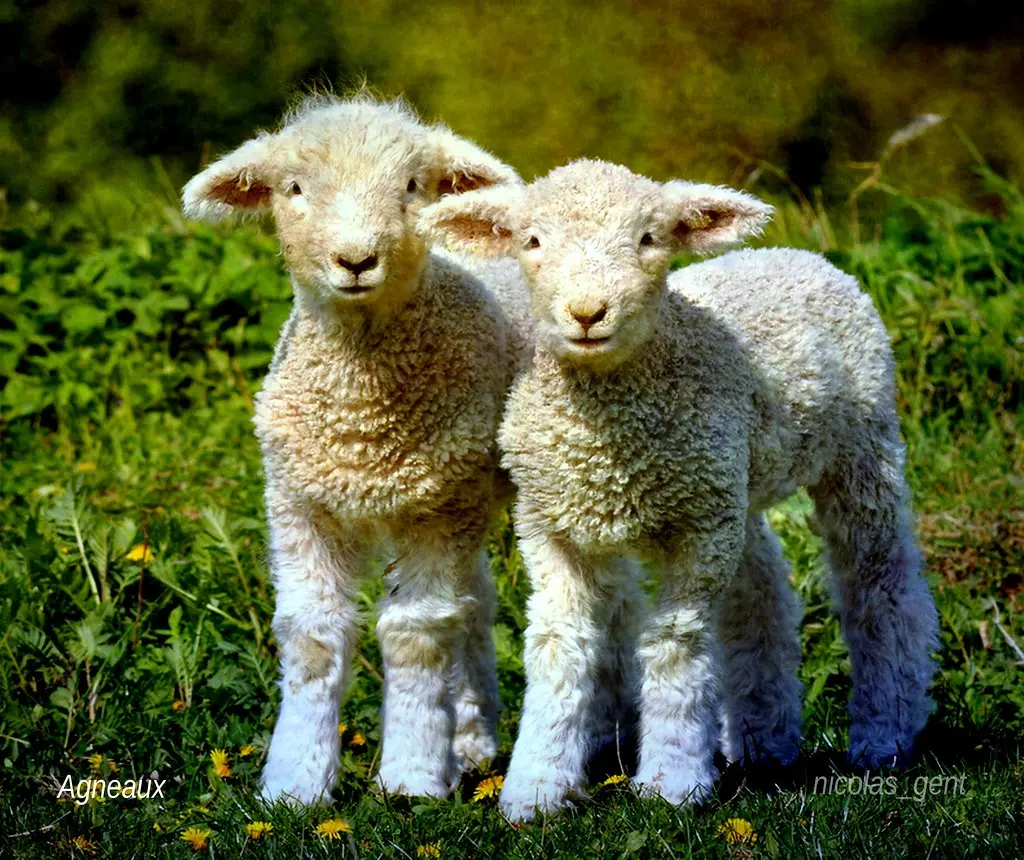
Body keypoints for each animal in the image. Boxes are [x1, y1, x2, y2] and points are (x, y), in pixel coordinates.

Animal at [182, 94, 529, 805]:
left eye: (413, 186)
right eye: (293, 188)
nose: (355, 260)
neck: (359, 421)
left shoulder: (435, 511)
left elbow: (415, 634)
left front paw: (414, 776)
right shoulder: (298, 503)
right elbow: (313, 637)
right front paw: (294, 782)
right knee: (476, 600)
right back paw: (472, 737)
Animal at [418, 158, 940, 821]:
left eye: (649, 238)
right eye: (532, 241)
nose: (588, 312)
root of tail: (803, 257)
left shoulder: (698, 530)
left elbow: (675, 646)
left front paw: (672, 782)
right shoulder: (551, 526)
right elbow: (559, 647)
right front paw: (537, 786)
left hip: (860, 446)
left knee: (881, 586)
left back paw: (884, 734)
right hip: (733, 482)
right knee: (761, 590)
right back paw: (763, 742)